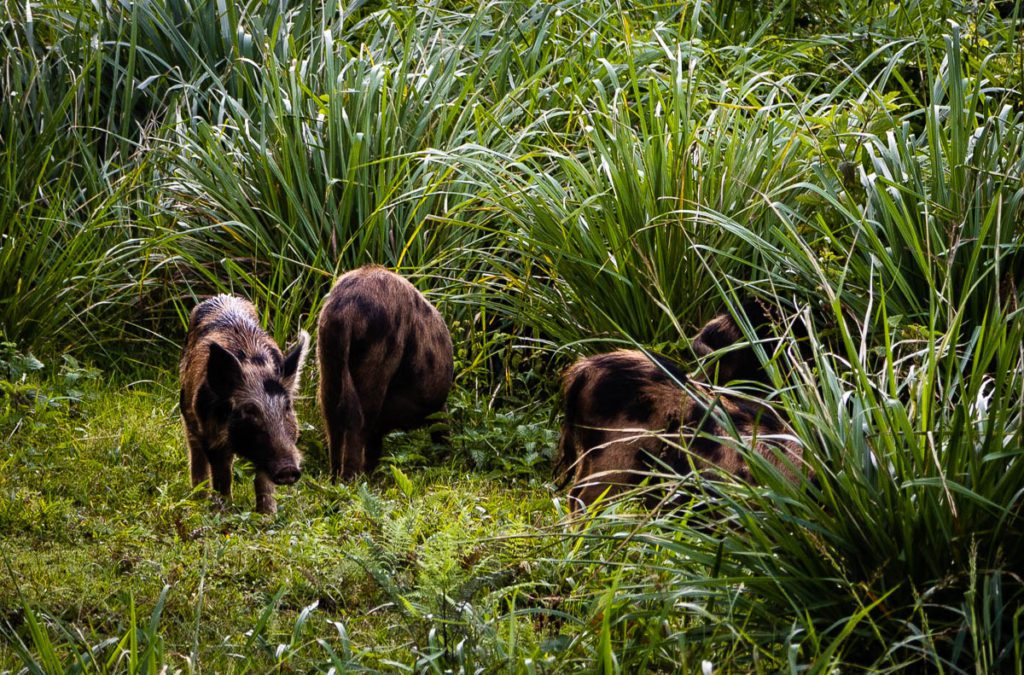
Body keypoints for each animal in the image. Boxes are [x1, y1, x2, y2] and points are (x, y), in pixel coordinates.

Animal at [179, 294, 307, 512]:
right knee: (196, 455)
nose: (288, 469)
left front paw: (267, 514)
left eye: (287, 407)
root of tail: (223, 297)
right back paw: (197, 499)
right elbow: (223, 476)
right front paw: (224, 511)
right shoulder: (211, 436)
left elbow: (263, 481)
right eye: (249, 410)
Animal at [315, 264, 452, 481]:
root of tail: (347, 310)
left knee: (332, 417)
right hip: (379, 357)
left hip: (328, 360)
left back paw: (335, 477)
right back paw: (352, 480)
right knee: (358, 422)